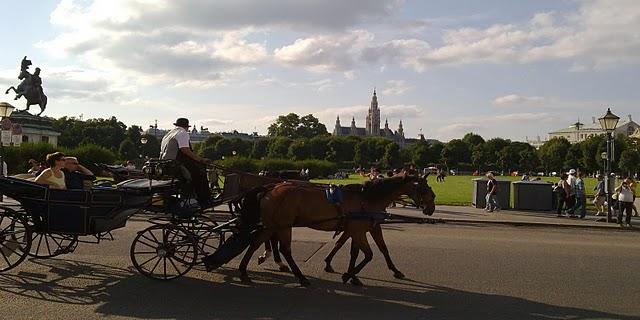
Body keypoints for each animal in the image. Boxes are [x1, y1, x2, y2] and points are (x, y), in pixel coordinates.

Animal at [235, 175, 436, 288]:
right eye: (425, 189)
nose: (431, 209)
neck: (366, 199)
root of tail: (269, 187)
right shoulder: (359, 230)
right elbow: (368, 254)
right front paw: (349, 274)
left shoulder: (364, 228)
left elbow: (372, 249)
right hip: (283, 225)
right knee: (285, 249)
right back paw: (300, 276)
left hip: (273, 225)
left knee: (256, 242)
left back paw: (246, 270)